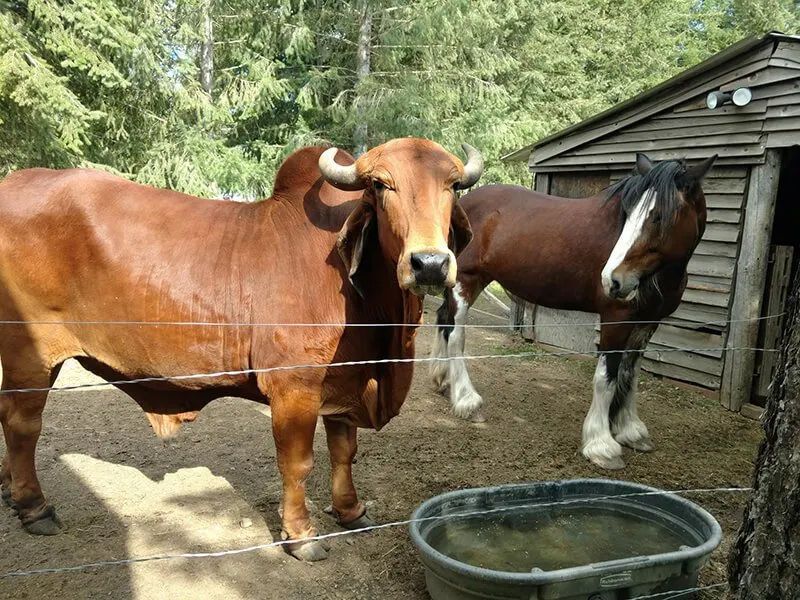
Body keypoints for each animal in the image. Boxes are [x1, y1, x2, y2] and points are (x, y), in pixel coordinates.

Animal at [0, 138, 484, 560]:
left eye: (454, 186)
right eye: (382, 185)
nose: (430, 264)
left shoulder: (346, 379)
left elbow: (344, 452)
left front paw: (350, 511)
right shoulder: (294, 386)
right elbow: (298, 463)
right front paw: (301, 536)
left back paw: (8, 491)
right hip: (30, 354)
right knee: (22, 424)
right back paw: (33, 507)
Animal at [434, 154, 716, 468]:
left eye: (659, 216)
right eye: (629, 214)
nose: (612, 280)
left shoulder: (647, 322)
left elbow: (630, 374)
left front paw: (630, 430)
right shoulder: (616, 319)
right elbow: (606, 378)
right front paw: (602, 444)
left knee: (442, 320)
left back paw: (442, 380)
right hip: (465, 280)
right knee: (455, 335)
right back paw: (467, 400)